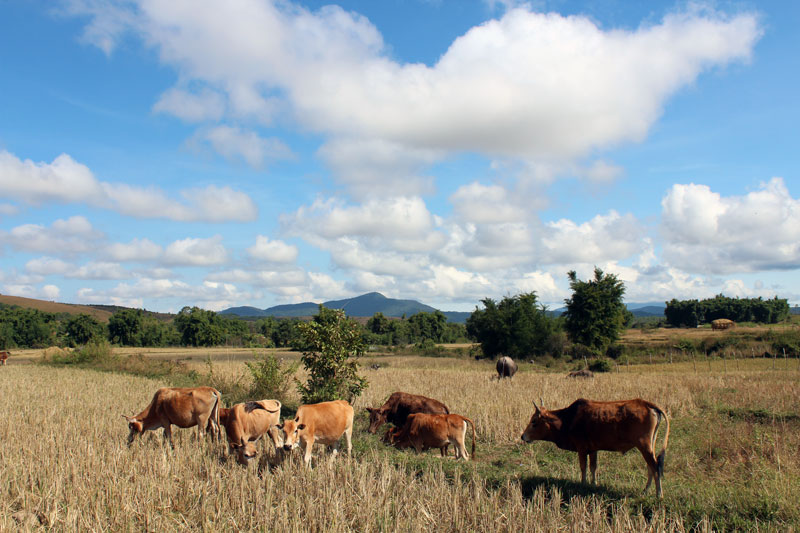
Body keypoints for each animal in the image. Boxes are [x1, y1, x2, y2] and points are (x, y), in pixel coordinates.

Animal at [520, 396, 672, 496]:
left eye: (534, 421)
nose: (523, 436)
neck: (567, 420)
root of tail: (647, 404)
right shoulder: (593, 450)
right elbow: (593, 467)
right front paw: (593, 484)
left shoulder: (581, 449)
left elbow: (583, 467)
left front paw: (583, 483)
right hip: (649, 446)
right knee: (651, 467)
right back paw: (646, 490)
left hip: (644, 446)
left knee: (655, 466)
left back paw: (659, 494)